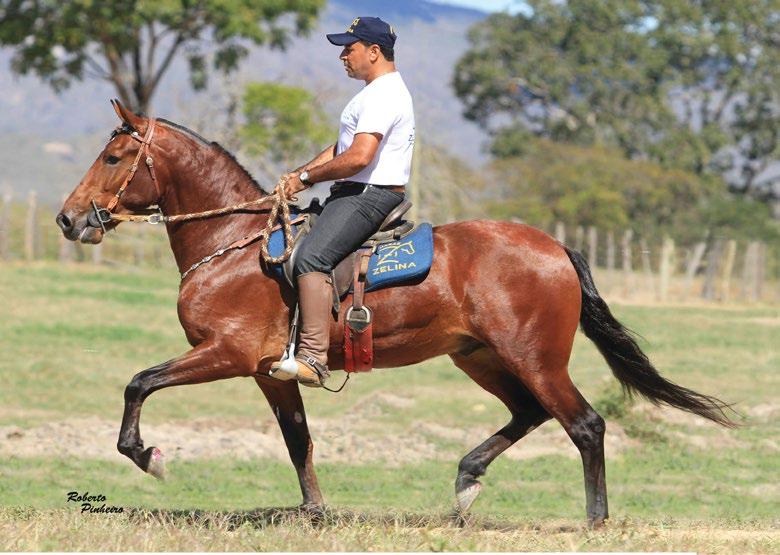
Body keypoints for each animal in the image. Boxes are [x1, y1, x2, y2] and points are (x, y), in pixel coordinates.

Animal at [56, 102, 732, 528]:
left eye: (113, 158)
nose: (68, 218)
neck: (235, 246)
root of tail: (555, 248)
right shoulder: (269, 373)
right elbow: (297, 438)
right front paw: (315, 512)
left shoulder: (225, 354)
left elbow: (139, 382)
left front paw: (147, 456)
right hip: (480, 358)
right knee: (530, 413)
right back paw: (466, 480)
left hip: (535, 359)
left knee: (585, 425)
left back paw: (594, 519)